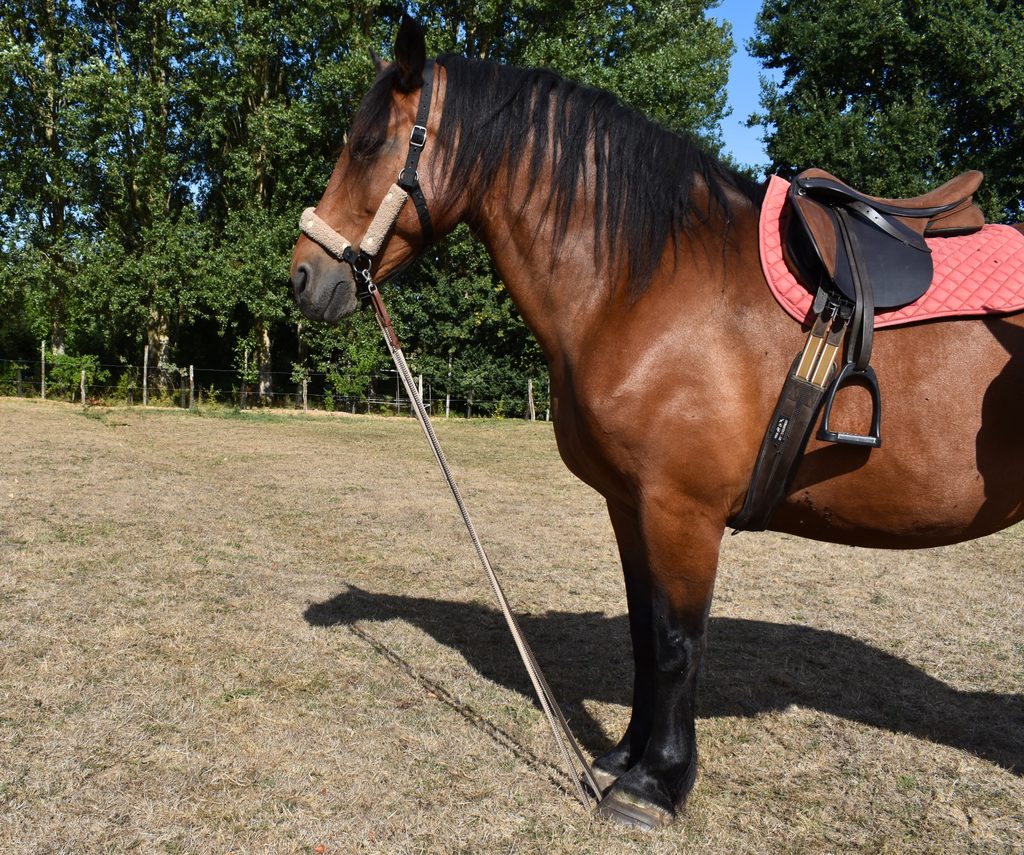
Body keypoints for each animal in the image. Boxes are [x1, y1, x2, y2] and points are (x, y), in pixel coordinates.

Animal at [289, 16, 1024, 829]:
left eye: (366, 145)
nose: (304, 278)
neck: (650, 286)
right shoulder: (630, 503)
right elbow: (644, 632)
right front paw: (624, 759)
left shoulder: (682, 510)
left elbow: (676, 640)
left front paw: (657, 784)